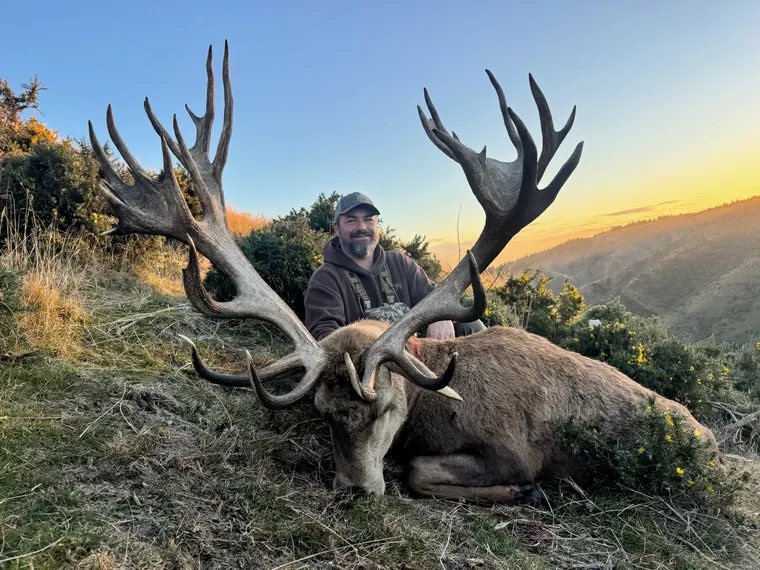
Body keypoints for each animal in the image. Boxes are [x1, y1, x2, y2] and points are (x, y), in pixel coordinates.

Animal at [88, 42, 720, 503]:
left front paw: (518, 491)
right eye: (324, 414)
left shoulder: (514, 449)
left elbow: (419, 470)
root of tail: (710, 441)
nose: (355, 489)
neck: (436, 399)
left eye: (386, 409)